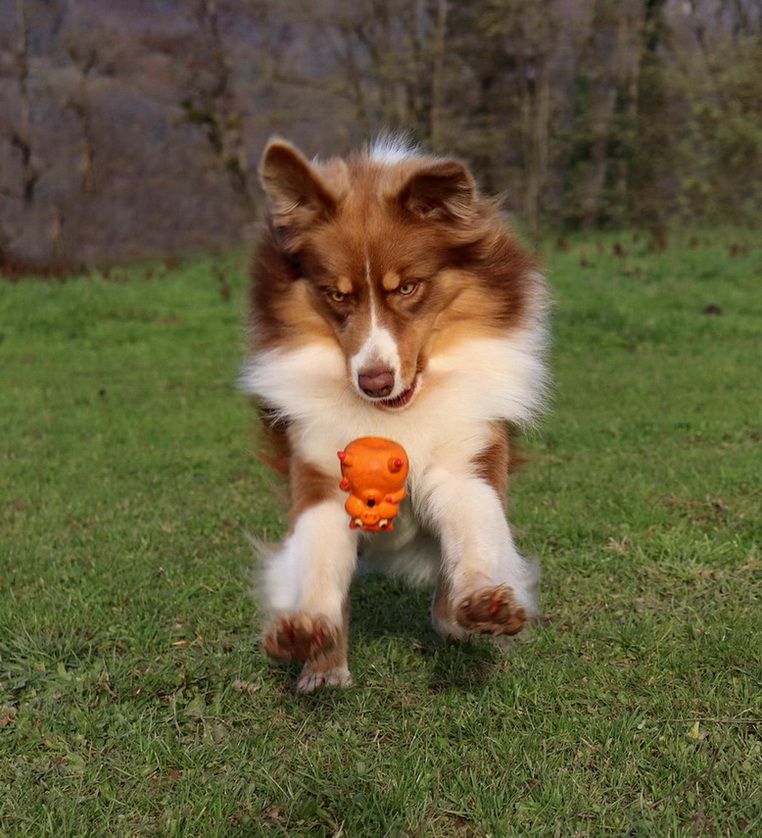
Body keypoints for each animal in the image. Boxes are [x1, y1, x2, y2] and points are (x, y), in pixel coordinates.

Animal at [240, 135, 544, 692]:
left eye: (407, 287)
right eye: (336, 294)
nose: (374, 382)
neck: (397, 417)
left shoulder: (465, 458)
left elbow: (476, 528)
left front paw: (481, 602)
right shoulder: (319, 470)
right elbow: (318, 558)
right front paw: (313, 645)